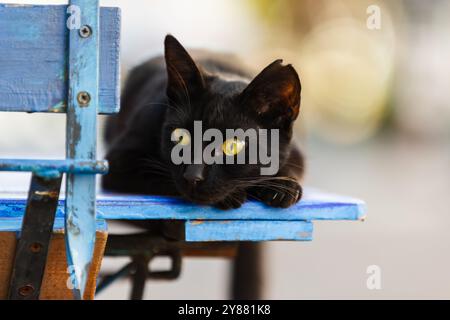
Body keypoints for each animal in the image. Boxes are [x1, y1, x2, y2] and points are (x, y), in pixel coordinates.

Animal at [103, 35, 304, 210]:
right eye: (181, 136)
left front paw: (283, 186)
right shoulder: (119, 161)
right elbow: (158, 175)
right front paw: (234, 195)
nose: (193, 176)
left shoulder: (296, 154)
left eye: (233, 145)